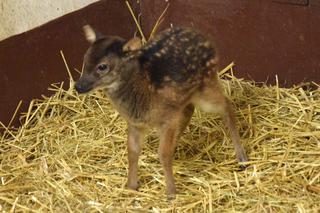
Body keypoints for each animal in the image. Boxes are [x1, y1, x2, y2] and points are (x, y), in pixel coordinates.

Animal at [75, 25, 248, 198]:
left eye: (102, 66)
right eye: (85, 58)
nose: (78, 86)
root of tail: (203, 36)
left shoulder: (167, 119)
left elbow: (163, 154)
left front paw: (171, 192)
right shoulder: (135, 122)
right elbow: (132, 150)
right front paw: (131, 186)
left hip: (206, 86)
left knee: (226, 104)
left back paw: (242, 157)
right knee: (190, 109)